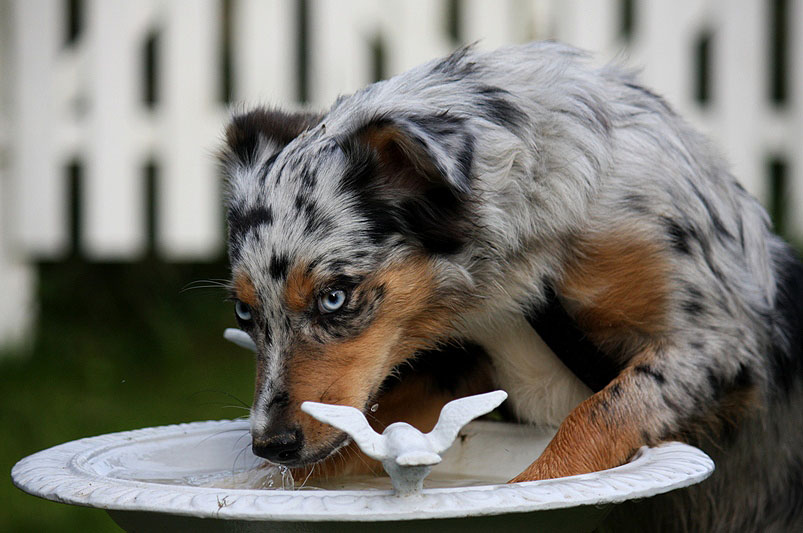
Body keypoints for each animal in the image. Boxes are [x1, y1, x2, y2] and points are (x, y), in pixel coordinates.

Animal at [220, 42, 803, 532]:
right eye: (244, 312)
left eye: (334, 297)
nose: (271, 444)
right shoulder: (459, 366)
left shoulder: (715, 342)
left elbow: (596, 415)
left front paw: (525, 491)